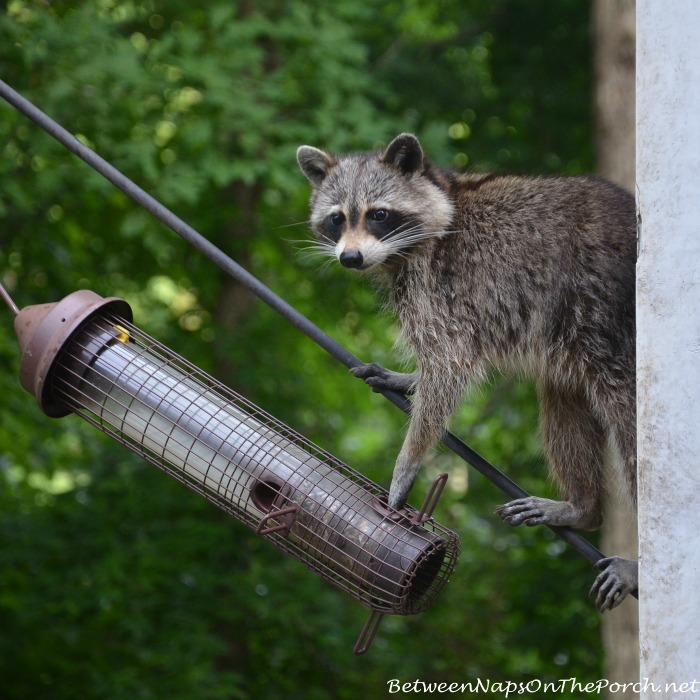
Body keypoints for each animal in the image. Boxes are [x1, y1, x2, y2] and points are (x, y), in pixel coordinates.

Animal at [296, 135, 640, 608]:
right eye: (337, 219)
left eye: (378, 214)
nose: (350, 257)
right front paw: (410, 379)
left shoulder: (443, 286)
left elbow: (449, 366)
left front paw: (406, 464)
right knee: (562, 394)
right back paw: (583, 505)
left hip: (609, 319)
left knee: (629, 420)